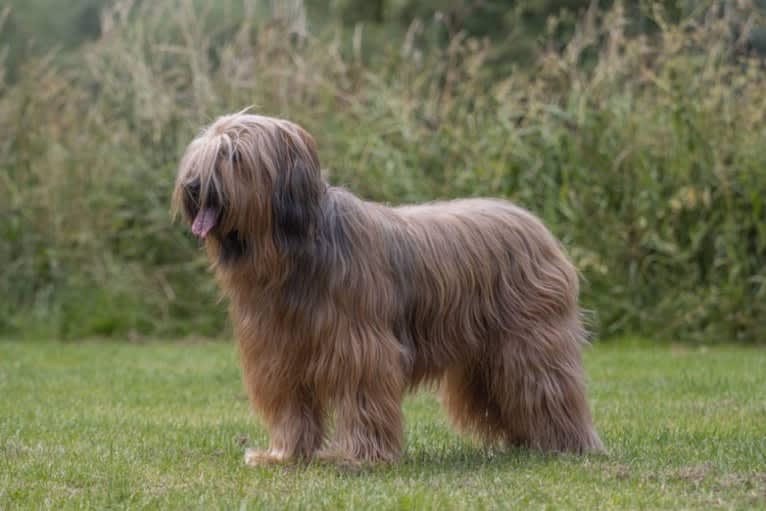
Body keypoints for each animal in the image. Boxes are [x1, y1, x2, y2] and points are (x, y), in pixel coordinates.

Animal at [174, 112, 608, 468]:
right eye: (199, 157)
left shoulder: (358, 344)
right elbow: (291, 407)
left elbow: (361, 394)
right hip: (485, 362)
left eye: (233, 156)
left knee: (547, 387)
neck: (293, 254)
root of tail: (534, 224)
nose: (192, 186)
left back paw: (566, 444)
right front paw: (284, 454)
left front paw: (360, 456)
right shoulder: (277, 353)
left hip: (530, 343)